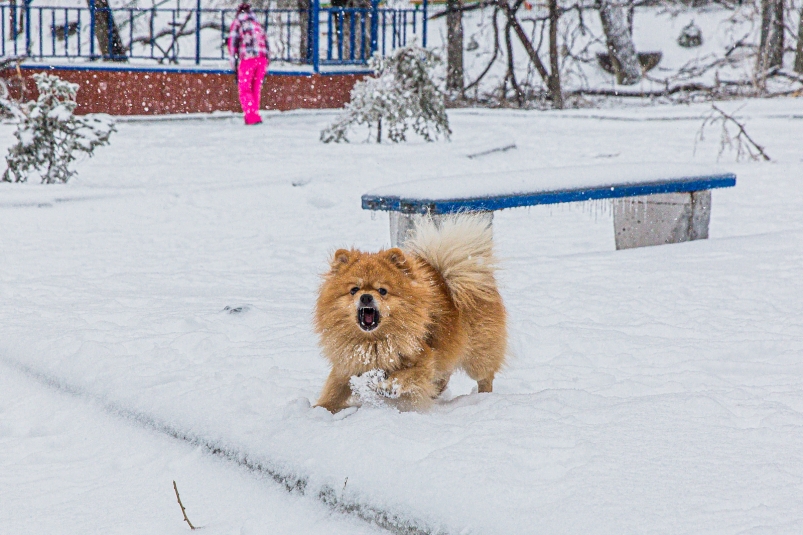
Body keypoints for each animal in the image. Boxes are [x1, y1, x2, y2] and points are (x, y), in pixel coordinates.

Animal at [312, 215, 506, 414]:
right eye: (354, 290)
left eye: (382, 290)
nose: (366, 297)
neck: (373, 342)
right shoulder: (347, 364)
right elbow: (334, 390)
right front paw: (320, 409)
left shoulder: (424, 358)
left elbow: (406, 375)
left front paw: (388, 387)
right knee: (444, 376)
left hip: (478, 354)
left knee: (484, 376)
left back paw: (484, 397)